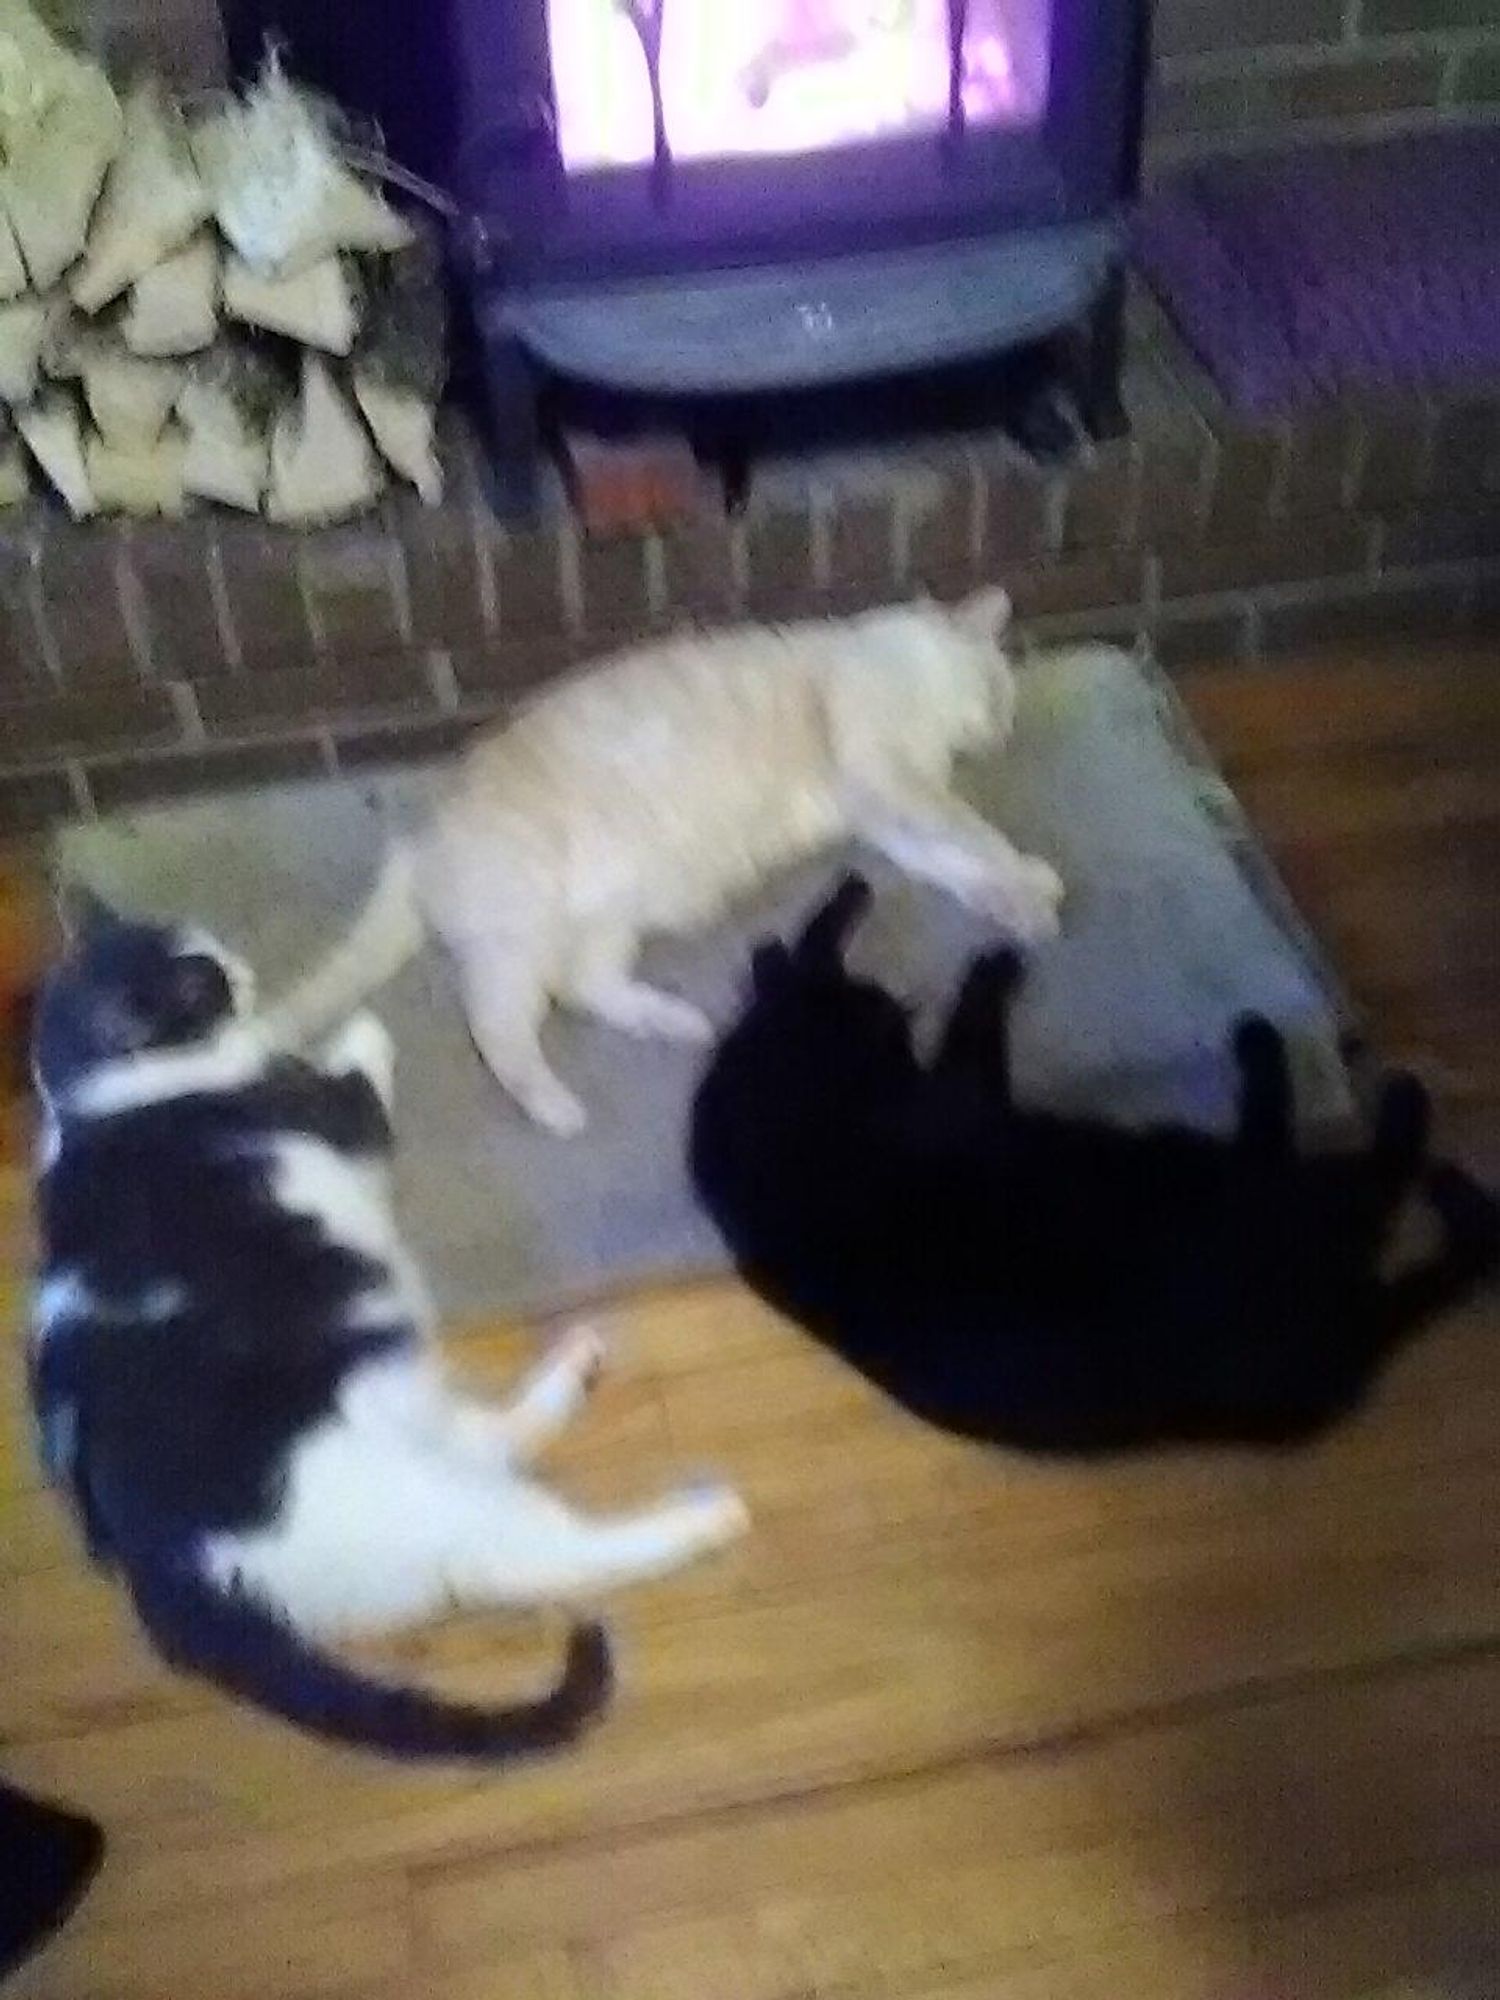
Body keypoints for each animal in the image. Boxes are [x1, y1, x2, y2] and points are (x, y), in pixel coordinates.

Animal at [29, 900, 748, 1760]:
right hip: (415, 1498)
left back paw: (576, 1363)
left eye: (205, 947)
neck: (103, 1102)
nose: (240, 969)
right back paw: (702, 1516)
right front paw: (358, 1023)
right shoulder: (331, 1114)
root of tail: (164, 1568)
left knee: (492, 1444)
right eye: (200, 982)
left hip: (408, 1423)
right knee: (537, 1558)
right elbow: (357, 1075)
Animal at [274, 584, 1072, 1136]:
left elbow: (957, 863)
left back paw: (674, 1022)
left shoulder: (885, 816)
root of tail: (415, 842)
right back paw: (556, 1105)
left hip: (605, 920)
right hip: (522, 935)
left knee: (582, 987)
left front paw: (1021, 894)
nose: (1003, 729)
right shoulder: (893, 780)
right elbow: (971, 831)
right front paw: (1026, 873)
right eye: (1000, 687)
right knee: (498, 1025)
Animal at [692, 876, 1500, 1456]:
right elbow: (970, 1029)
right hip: (1239, 1187)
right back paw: (1360, 1090)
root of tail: (1339, 1355)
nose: (891, 1014)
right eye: (879, 1021)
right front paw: (991, 966)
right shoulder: (962, 1092)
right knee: (1363, 1171)